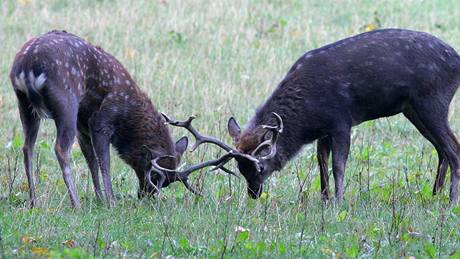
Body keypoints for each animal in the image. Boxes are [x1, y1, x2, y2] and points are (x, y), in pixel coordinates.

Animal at [10, 30, 234, 209]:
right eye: (155, 175)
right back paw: (76, 204)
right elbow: (104, 161)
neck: (128, 116)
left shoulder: (84, 127)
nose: (145, 196)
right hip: (67, 101)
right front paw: (110, 201)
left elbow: (91, 160)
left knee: (27, 148)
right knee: (60, 149)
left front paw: (99, 198)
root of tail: (26, 66)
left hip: (24, 104)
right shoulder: (101, 121)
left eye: (167, 183)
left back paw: (34, 201)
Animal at [154, 28, 460, 206]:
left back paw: (451, 200)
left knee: (453, 149)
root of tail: (456, 60)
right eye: (240, 169)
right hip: (413, 109)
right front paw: (324, 198)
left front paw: (338, 201)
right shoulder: (324, 129)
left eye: (260, 167)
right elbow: (321, 161)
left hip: (432, 101)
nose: (254, 194)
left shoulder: (341, 119)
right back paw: (434, 194)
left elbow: (338, 163)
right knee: (441, 149)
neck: (308, 116)